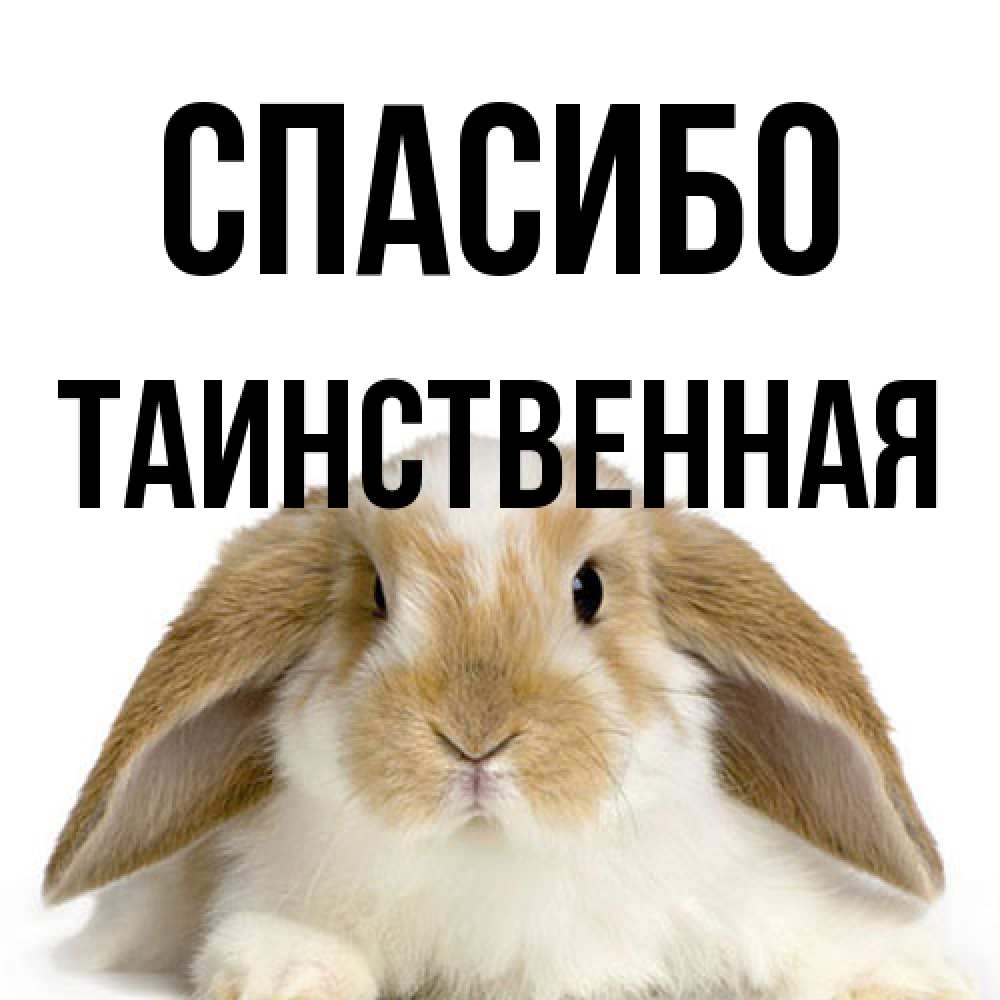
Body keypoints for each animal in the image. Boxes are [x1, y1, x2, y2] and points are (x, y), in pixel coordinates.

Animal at [45, 435, 975, 1000]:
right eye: (375, 596)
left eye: (589, 589)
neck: (495, 857)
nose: (475, 737)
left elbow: (817, 939)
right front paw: (291, 976)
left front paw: (910, 978)